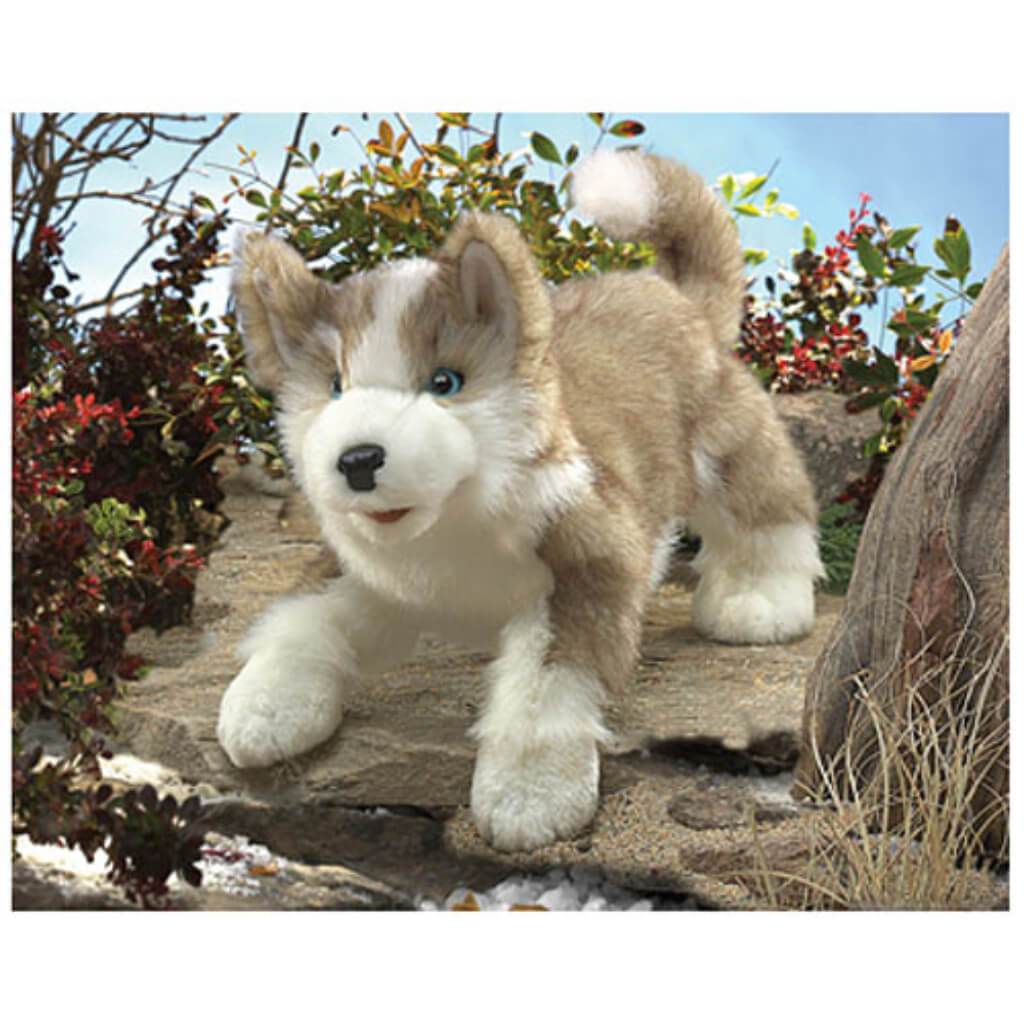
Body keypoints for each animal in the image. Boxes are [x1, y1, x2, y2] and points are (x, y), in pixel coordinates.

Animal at [217, 149, 823, 851]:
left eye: (444, 383)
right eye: (335, 387)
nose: (358, 460)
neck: (452, 524)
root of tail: (668, 292)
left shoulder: (587, 566)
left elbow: (544, 694)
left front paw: (529, 796)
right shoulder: (364, 573)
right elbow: (302, 619)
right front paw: (264, 706)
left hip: (726, 440)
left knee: (767, 507)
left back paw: (759, 600)